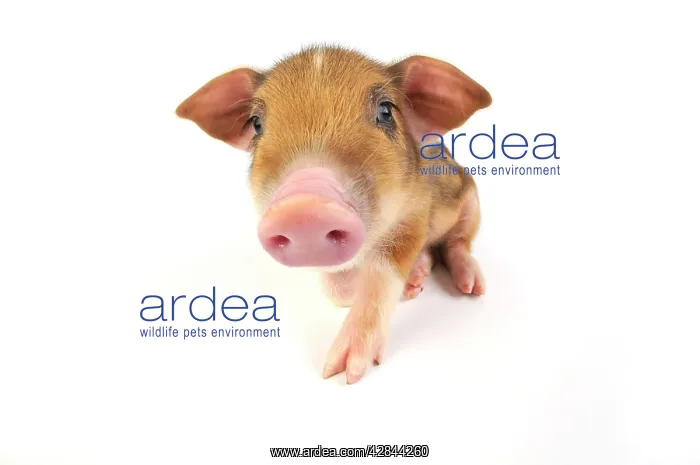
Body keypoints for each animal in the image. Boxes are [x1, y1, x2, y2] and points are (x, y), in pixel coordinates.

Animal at [176, 45, 491, 384]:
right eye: (257, 123)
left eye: (385, 112)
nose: (305, 205)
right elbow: (336, 287)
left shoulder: (417, 210)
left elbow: (382, 273)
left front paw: (341, 372)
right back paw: (415, 282)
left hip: (471, 200)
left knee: (456, 243)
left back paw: (471, 286)